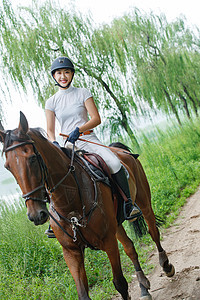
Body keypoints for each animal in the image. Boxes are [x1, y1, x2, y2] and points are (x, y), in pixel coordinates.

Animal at [0, 111, 174, 298]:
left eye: (32, 158)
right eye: (7, 166)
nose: (35, 215)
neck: (70, 205)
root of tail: (119, 150)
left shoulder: (108, 242)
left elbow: (120, 283)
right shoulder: (71, 252)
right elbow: (83, 293)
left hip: (144, 204)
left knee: (153, 232)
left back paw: (166, 266)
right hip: (116, 225)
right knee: (130, 247)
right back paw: (143, 286)